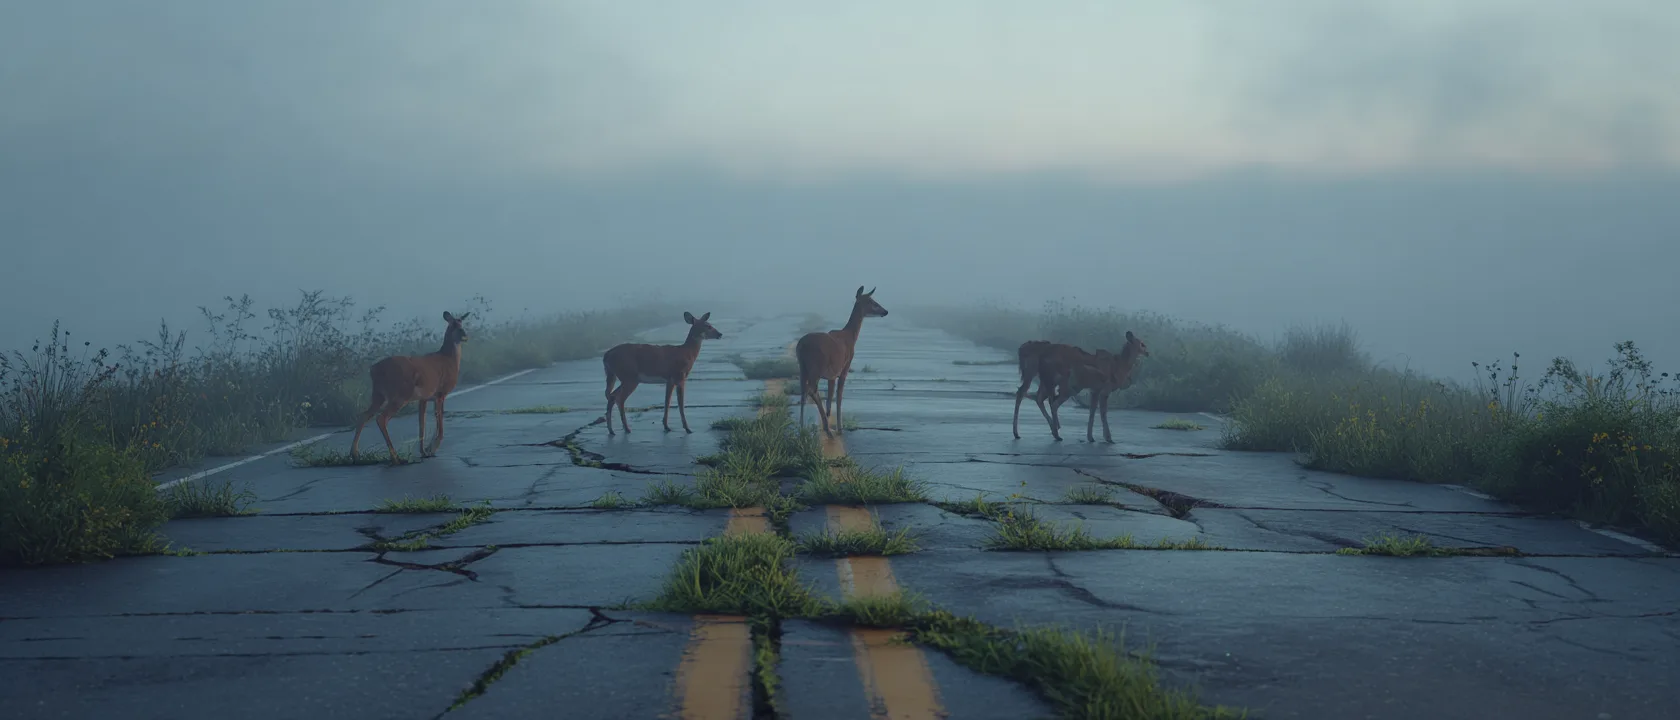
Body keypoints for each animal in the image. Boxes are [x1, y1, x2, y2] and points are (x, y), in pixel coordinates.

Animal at [349, 311, 470, 465]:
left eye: (462, 323)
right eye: (453, 324)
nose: (464, 335)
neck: (450, 359)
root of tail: (374, 370)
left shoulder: (424, 398)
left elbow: (421, 424)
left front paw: (424, 451)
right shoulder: (441, 393)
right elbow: (440, 424)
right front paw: (432, 449)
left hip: (378, 395)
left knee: (364, 415)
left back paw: (355, 455)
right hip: (400, 394)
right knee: (381, 418)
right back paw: (395, 457)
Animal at [795, 286, 888, 435]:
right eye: (872, 301)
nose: (885, 311)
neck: (850, 336)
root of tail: (801, 345)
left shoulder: (832, 374)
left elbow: (830, 397)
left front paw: (830, 418)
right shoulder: (844, 367)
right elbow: (838, 396)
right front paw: (840, 427)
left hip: (802, 366)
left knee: (803, 392)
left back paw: (802, 427)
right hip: (816, 365)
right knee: (812, 390)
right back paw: (827, 428)